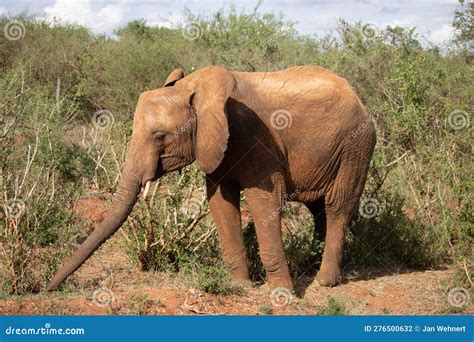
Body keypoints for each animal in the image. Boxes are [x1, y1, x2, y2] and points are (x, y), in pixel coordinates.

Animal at [47, 65, 374, 292]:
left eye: (159, 137)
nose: (47, 288)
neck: (194, 89)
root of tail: (358, 98)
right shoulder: (217, 143)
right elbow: (221, 202)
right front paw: (239, 286)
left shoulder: (258, 140)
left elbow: (264, 205)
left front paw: (282, 293)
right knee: (317, 208)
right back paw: (310, 265)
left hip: (355, 145)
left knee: (337, 206)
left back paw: (324, 282)